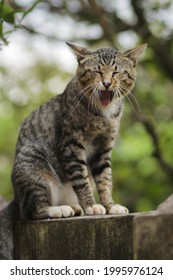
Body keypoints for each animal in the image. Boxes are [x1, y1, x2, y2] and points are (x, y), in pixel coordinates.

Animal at [11, 42, 146, 220]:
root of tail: (15, 200)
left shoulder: (103, 148)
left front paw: (110, 205)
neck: (104, 113)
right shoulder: (72, 146)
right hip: (31, 163)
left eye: (116, 72)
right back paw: (58, 209)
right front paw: (91, 205)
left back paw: (74, 207)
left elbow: (105, 179)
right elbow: (81, 180)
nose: (107, 83)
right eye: (97, 71)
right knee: (33, 210)